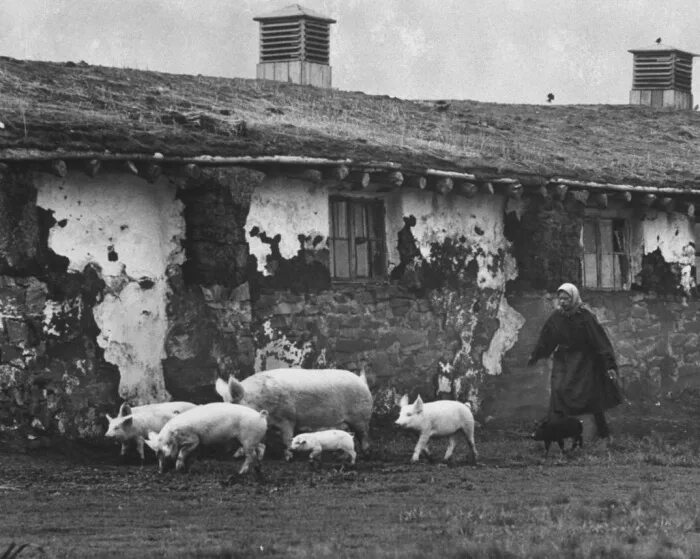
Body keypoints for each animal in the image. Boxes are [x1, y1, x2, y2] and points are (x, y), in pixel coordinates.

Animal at [216, 370, 374, 462]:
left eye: (233, 405)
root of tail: (362, 380)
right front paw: (237, 455)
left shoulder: (288, 419)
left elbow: (287, 438)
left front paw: (288, 457)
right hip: (346, 422)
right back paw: (340, 456)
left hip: (361, 417)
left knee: (364, 435)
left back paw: (366, 454)